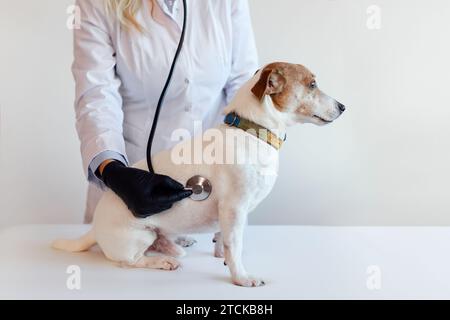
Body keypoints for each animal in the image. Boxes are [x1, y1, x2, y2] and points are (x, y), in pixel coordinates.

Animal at [53, 61, 348, 286]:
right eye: (312, 84)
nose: (343, 106)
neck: (251, 131)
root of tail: (94, 227)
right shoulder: (234, 208)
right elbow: (234, 244)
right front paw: (241, 277)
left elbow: (223, 239)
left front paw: (221, 254)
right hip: (136, 238)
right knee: (129, 261)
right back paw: (163, 260)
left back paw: (173, 244)